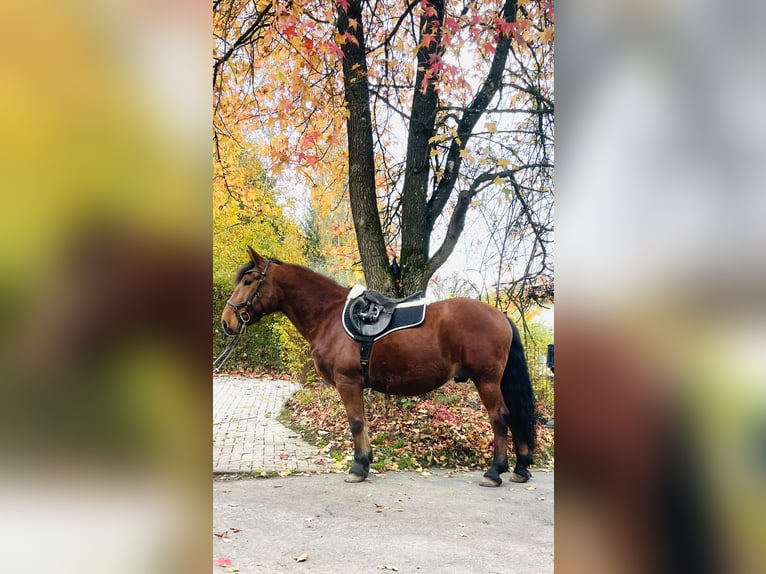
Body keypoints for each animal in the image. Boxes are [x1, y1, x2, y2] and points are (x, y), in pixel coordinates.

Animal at [220, 247, 536, 486]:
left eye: (248, 281)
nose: (227, 322)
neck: (329, 316)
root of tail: (501, 316)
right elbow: (362, 421)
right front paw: (366, 462)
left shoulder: (348, 382)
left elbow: (356, 422)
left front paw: (358, 467)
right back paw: (520, 468)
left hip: (487, 381)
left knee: (500, 418)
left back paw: (494, 472)